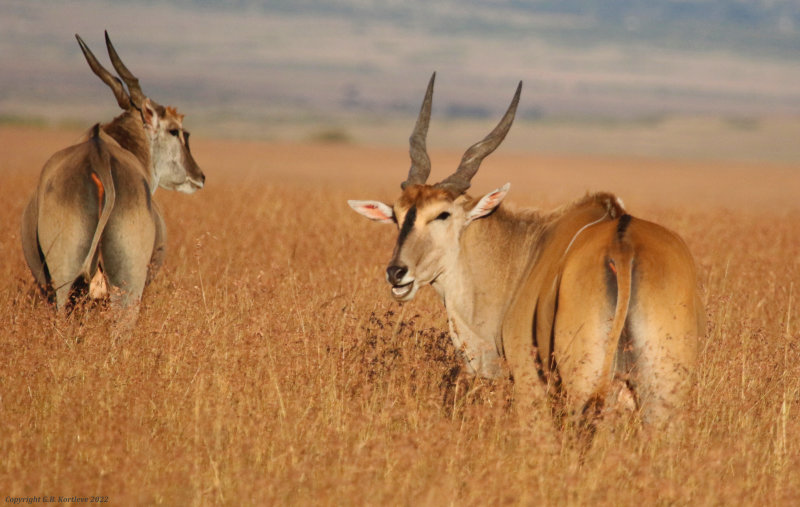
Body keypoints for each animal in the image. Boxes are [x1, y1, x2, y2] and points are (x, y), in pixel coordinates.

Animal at [346, 74, 704, 432]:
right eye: (397, 215)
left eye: (442, 214)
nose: (397, 273)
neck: (523, 252)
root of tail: (623, 245)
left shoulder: (530, 382)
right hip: (660, 399)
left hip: (582, 390)